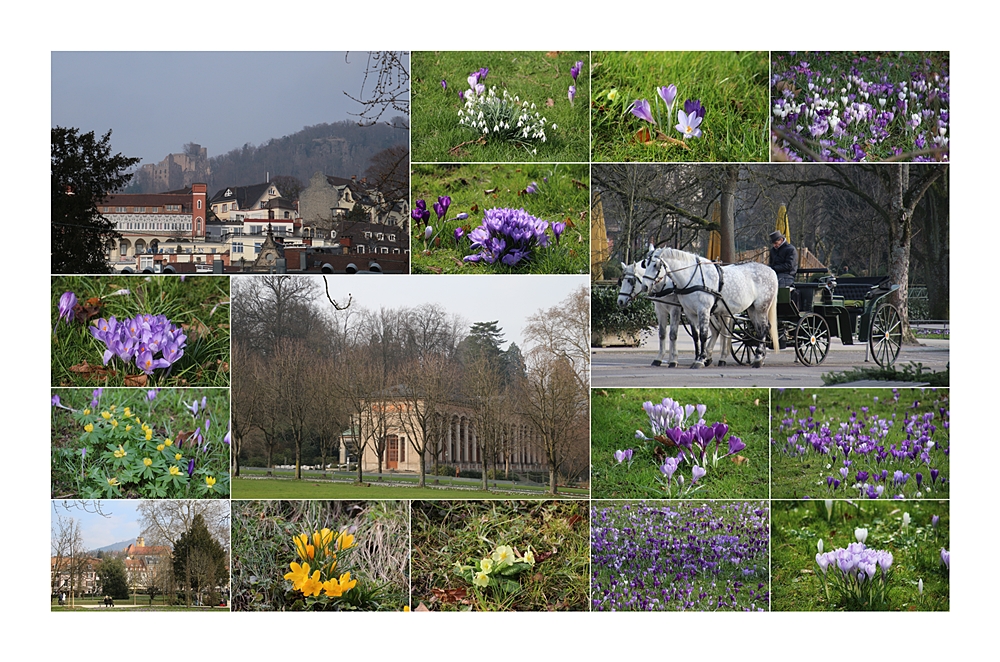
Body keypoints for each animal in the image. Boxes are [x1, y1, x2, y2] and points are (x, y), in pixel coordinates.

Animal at [640, 248, 780, 368]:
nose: (645, 286)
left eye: (655, 265)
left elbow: (703, 334)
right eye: (645, 264)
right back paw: (760, 356)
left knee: (763, 328)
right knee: (760, 329)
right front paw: (698, 357)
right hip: (752, 309)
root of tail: (771, 271)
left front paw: (700, 359)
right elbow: (695, 336)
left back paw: (758, 358)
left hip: (761, 307)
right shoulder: (689, 312)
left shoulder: (702, 310)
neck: (692, 277)